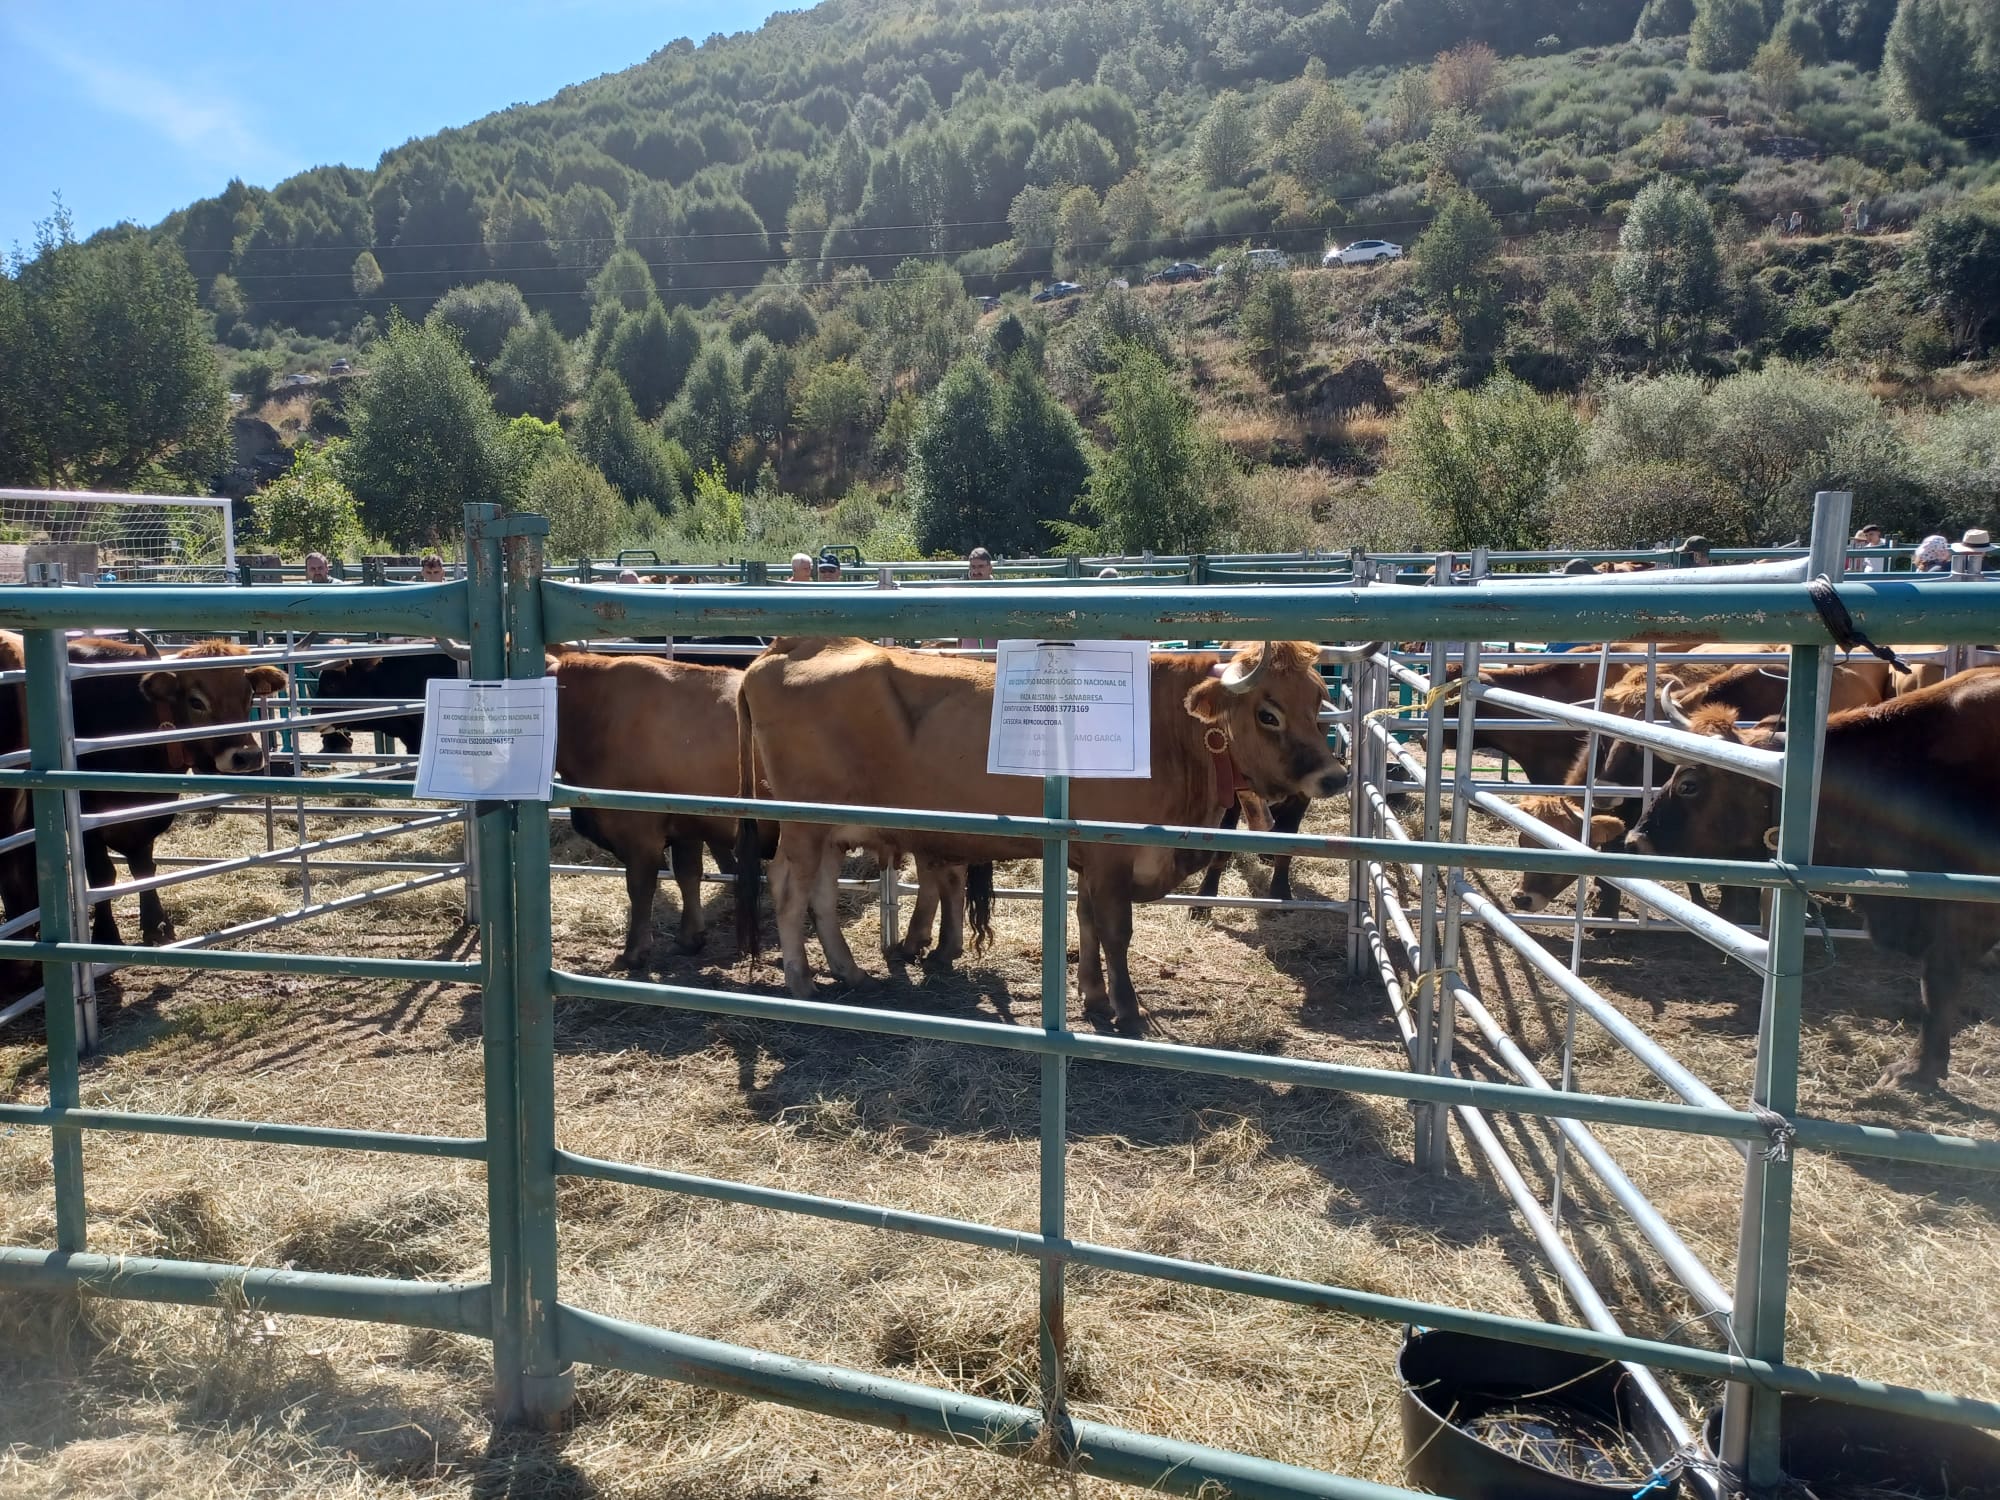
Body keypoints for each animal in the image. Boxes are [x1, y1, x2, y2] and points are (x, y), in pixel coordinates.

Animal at [736, 636, 1376, 1032]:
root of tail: (791, 645)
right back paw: (801, 983)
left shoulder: (1088, 858)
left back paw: (847, 970)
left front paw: (1092, 995)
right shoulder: (1112, 855)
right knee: (788, 890)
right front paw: (1126, 1010)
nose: (1334, 775)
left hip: (828, 832)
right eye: (1268, 712)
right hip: (803, 824)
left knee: (820, 893)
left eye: (1320, 700)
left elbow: (1087, 923)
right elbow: (1115, 932)